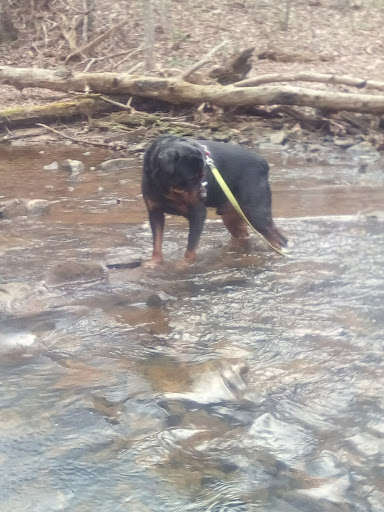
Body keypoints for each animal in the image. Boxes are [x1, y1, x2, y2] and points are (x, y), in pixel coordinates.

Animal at [142, 134, 286, 266]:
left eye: (202, 175)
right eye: (191, 178)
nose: (204, 196)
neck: (168, 190)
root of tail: (263, 163)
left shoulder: (198, 214)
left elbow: (191, 248)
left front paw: (184, 266)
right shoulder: (155, 212)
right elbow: (157, 242)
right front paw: (154, 263)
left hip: (256, 214)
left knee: (280, 239)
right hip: (232, 217)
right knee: (243, 235)